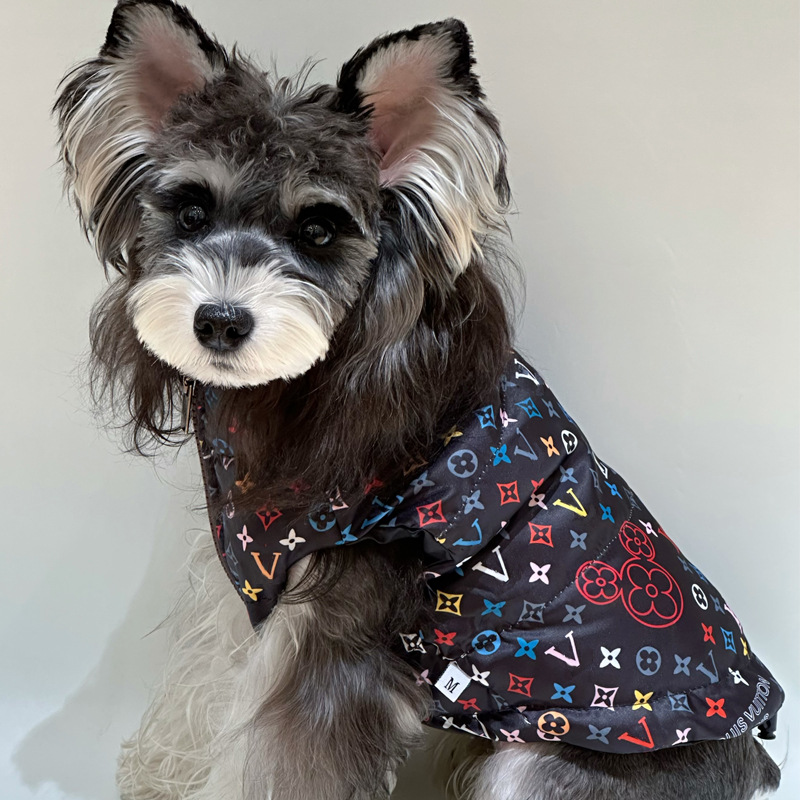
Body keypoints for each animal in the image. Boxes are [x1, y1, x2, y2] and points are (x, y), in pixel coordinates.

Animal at [55, 2, 784, 798]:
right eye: (190, 212)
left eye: (318, 229)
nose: (219, 321)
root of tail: (757, 763)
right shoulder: (260, 576)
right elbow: (208, 675)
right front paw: (161, 771)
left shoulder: (339, 634)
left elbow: (275, 754)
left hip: (541, 764)